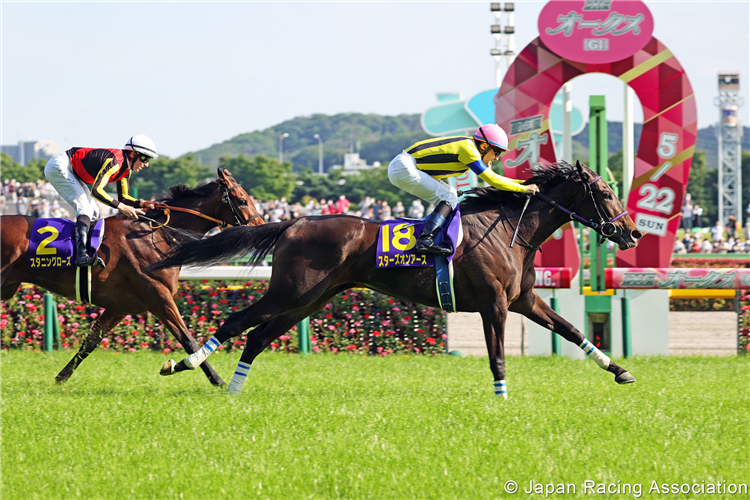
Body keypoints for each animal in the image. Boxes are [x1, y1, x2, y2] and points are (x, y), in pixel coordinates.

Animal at [0, 170, 264, 384]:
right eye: (243, 201)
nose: (262, 227)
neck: (156, 236)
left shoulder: (120, 306)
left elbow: (90, 342)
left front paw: (60, 379)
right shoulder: (159, 298)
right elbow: (188, 339)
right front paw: (217, 380)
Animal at [156, 162, 644, 396]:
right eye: (605, 192)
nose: (633, 233)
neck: (511, 229)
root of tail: (294, 221)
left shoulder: (523, 300)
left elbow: (573, 330)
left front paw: (620, 370)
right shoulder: (494, 304)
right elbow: (498, 356)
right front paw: (502, 395)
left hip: (313, 298)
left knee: (258, 336)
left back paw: (234, 387)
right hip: (291, 291)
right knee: (235, 322)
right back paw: (185, 364)